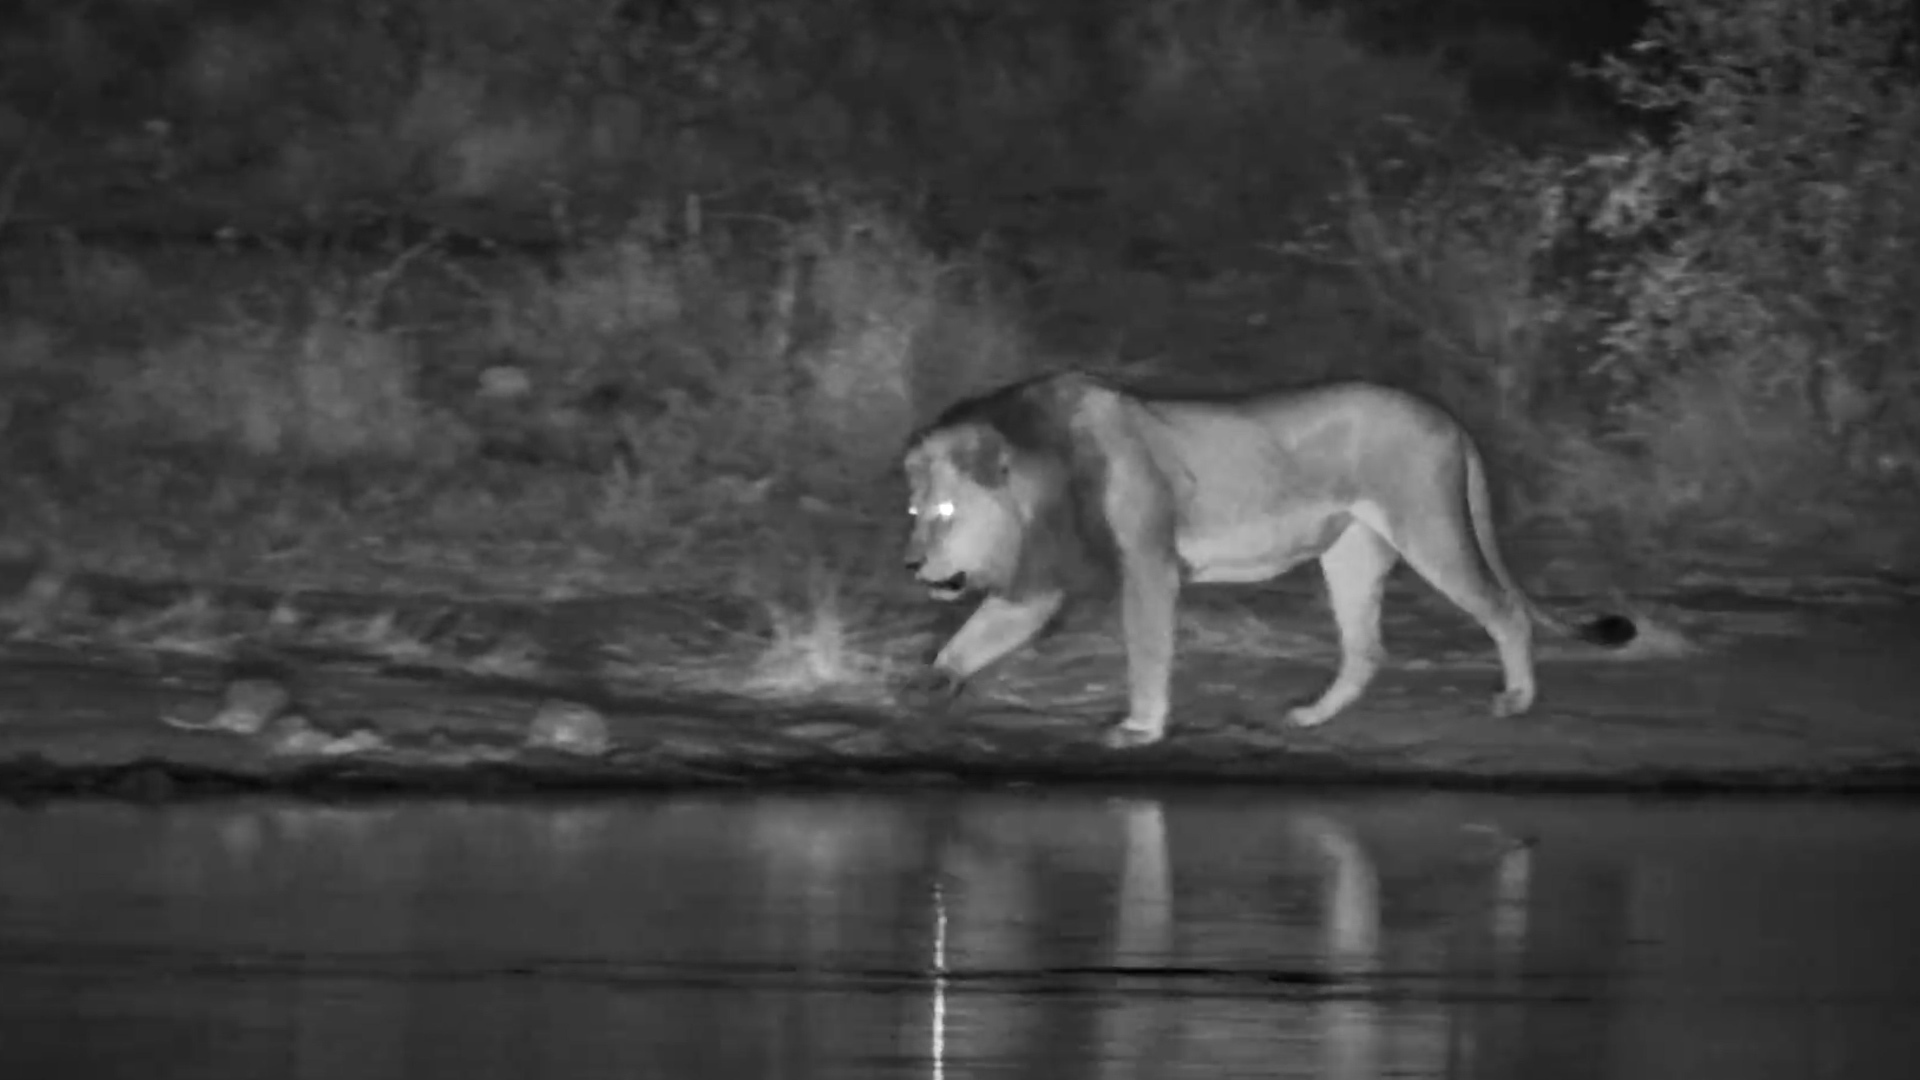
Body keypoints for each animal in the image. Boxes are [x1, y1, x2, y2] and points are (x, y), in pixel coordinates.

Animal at [898, 370, 1637, 749]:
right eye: (914, 512)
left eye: (944, 512)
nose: (910, 567)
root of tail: (1449, 418)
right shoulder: (1041, 584)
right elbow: (968, 640)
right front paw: (929, 687)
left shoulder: (1148, 565)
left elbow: (1147, 648)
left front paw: (1141, 725)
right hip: (1351, 554)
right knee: (1366, 650)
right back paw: (1311, 718)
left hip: (1429, 526)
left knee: (1506, 609)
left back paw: (1517, 699)